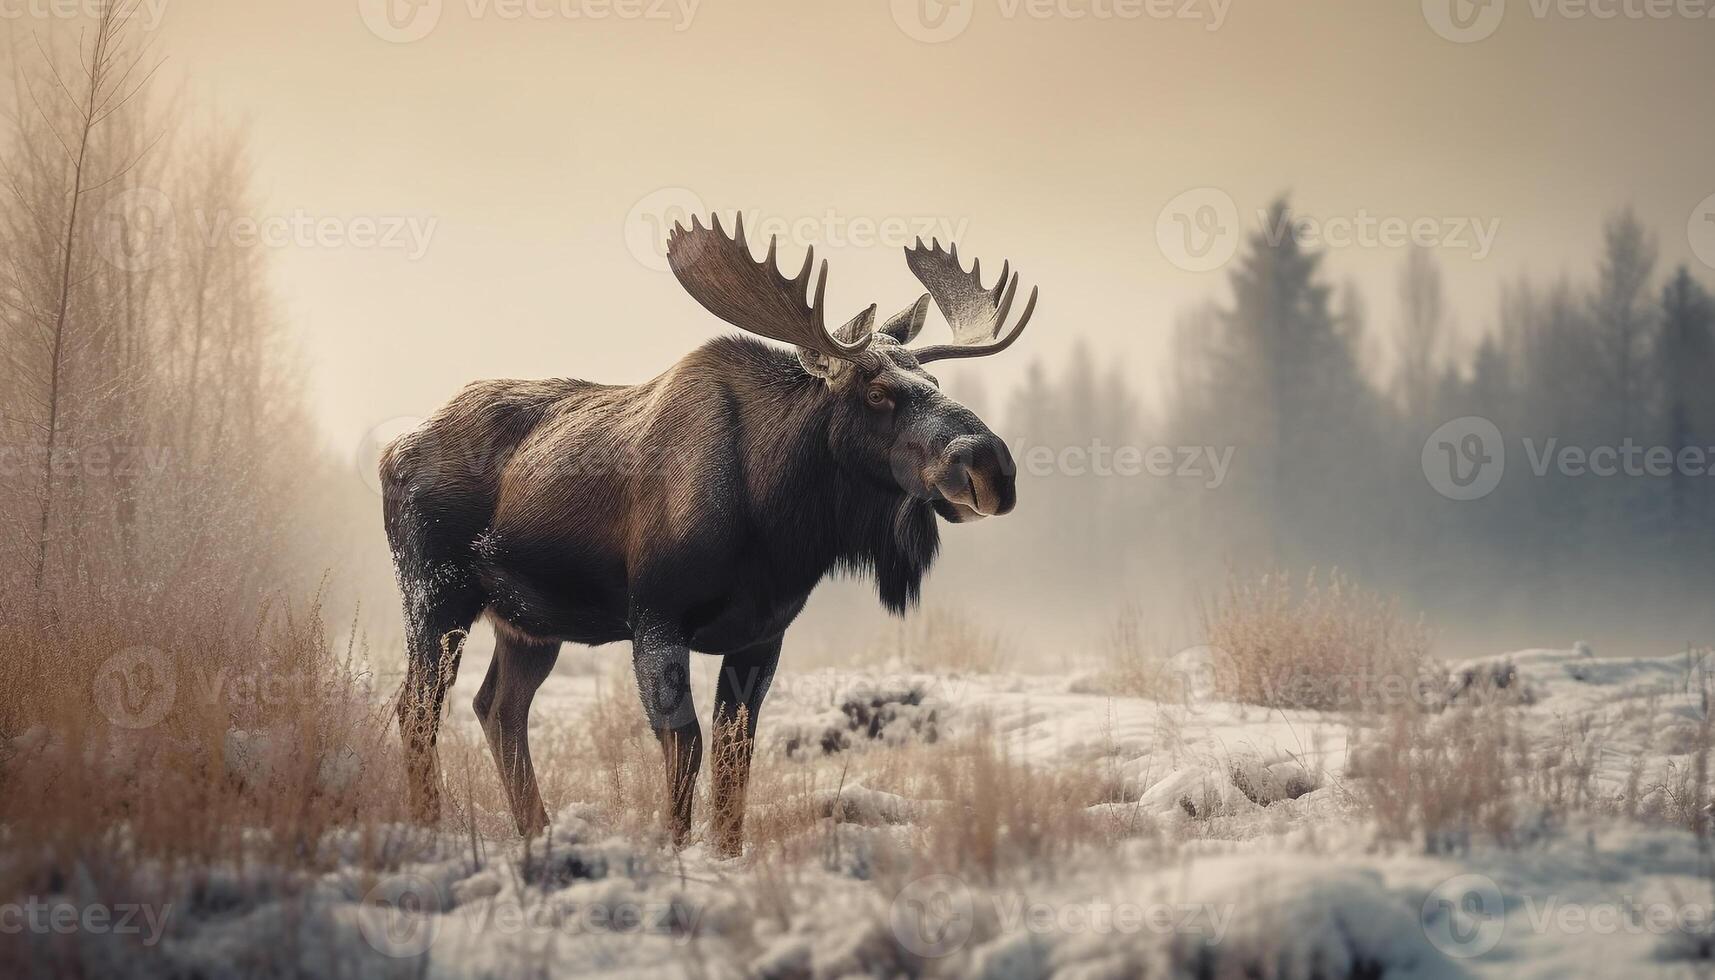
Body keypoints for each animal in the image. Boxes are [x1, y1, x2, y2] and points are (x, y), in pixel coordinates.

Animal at [382, 212, 1035, 851]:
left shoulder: (762, 635)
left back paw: (537, 831)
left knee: (498, 707)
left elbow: (733, 755)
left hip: (530, 624)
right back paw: (429, 827)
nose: (990, 465)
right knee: (417, 708)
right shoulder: (655, 617)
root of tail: (394, 451)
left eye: (934, 383)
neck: (778, 530)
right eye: (876, 393)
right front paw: (677, 848)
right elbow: (686, 745)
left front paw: (725, 852)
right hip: (436, 593)